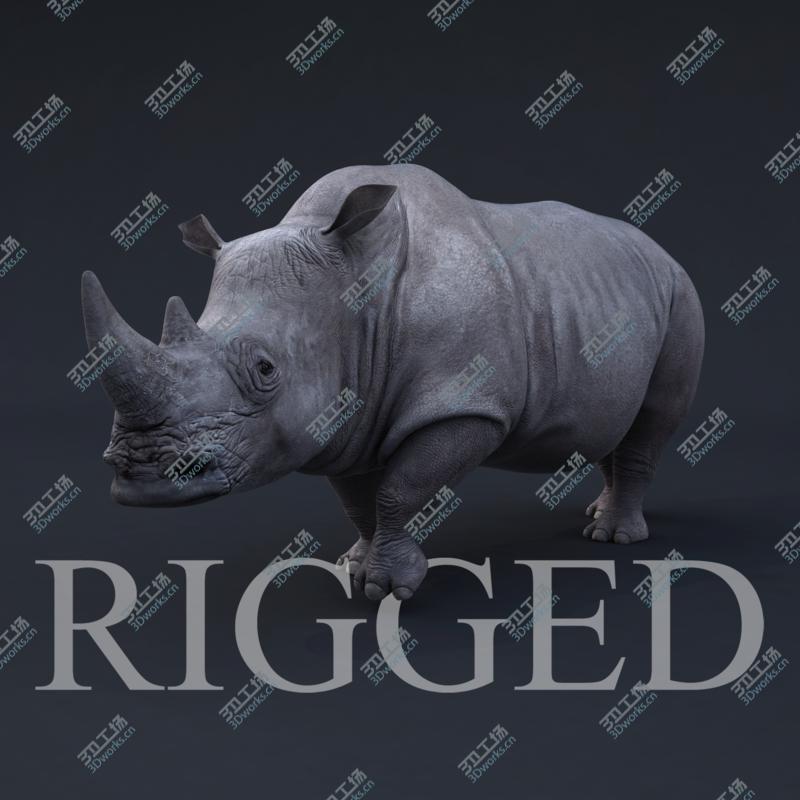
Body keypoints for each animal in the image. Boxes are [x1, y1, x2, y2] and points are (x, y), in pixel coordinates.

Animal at [81, 164, 704, 602]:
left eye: (265, 370)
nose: (144, 478)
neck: (357, 293)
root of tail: (658, 248)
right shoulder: (344, 417)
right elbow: (358, 499)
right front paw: (354, 570)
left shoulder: (466, 403)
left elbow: (399, 489)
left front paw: (390, 589)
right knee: (611, 424)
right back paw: (598, 517)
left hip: (680, 292)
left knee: (652, 420)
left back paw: (614, 540)